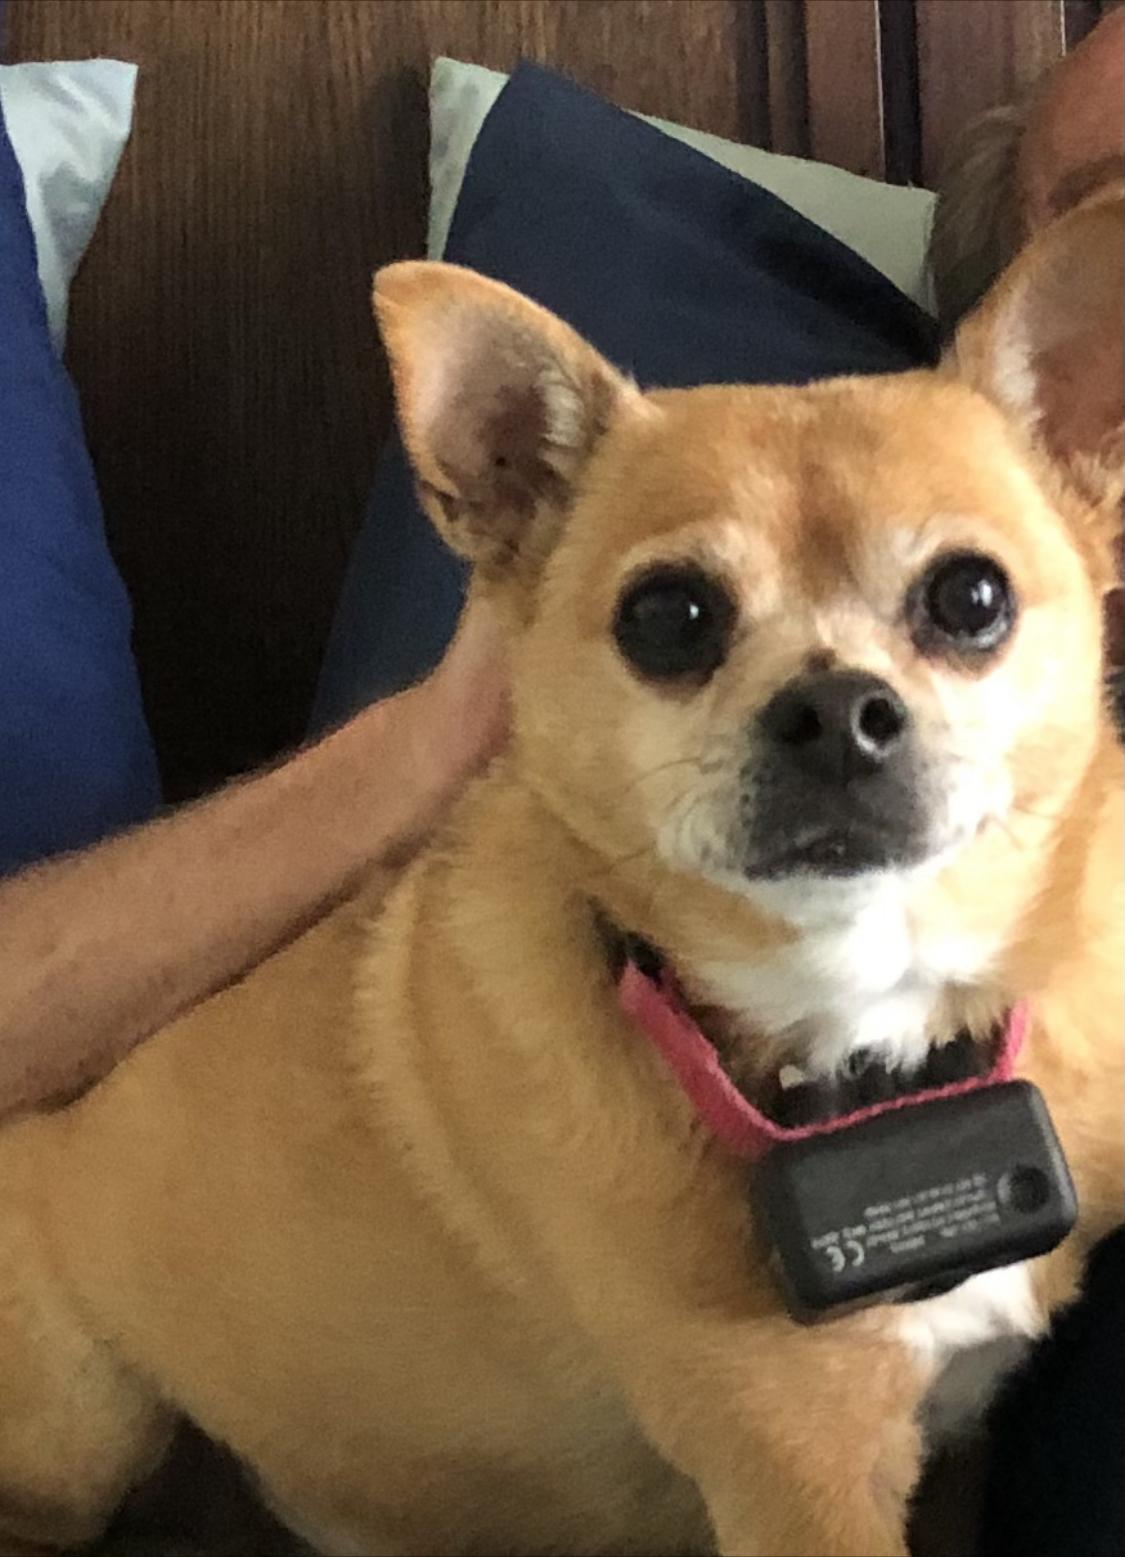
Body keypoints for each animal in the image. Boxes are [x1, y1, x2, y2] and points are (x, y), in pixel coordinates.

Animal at [0, 190, 1121, 1557]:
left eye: (971, 598)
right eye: (669, 617)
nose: (835, 711)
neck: (867, 1048)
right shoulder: (799, 1486)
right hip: (83, 1431)